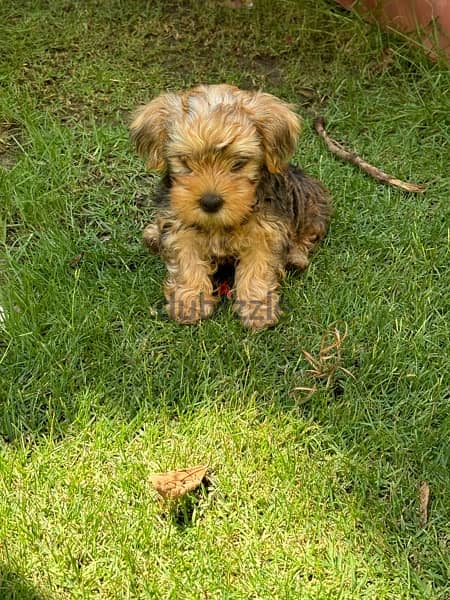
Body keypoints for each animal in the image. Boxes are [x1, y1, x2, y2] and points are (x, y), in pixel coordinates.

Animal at [130, 82, 330, 330]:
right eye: (185, 161)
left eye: (238, 164)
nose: (210, 202)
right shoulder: (179, 229)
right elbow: (187, 264)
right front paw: (190, 301)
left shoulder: (265, 232)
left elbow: (258, 269)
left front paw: (258, 308)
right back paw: (152, 236)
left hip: (312, 202)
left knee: (308, 232)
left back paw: (296, 257)